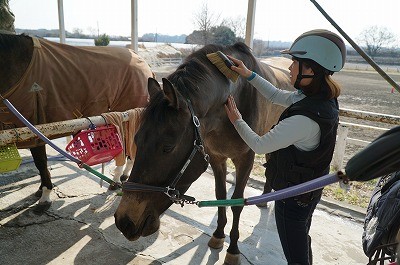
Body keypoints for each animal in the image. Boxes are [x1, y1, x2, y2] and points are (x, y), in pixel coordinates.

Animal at [0, 33, 154, 213]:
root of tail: (141, 60)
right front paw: (40, 191)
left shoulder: (33, 128)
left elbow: (41, 163)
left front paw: (45, 197)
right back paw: (121, 176)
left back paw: (117, 179)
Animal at [114, 42, 296, 262]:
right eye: (136, 140)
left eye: (168, 147)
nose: (124, 221)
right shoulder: (216, 158)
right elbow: (221, 196)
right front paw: (218, 235)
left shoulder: (246, 160)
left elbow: (237, 203)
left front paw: (233, 249)